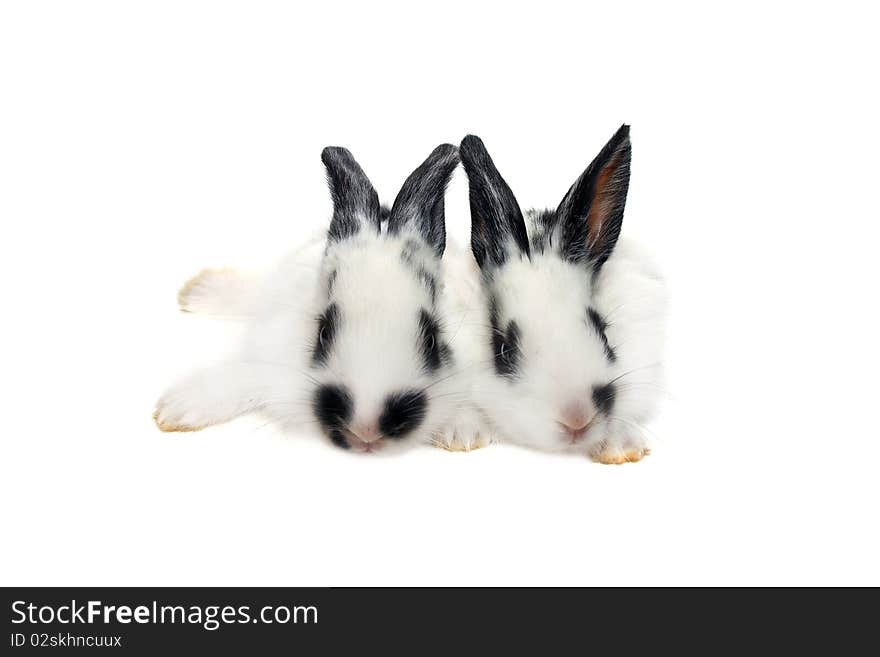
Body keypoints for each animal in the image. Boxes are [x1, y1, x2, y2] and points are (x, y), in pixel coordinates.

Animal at [153, 143, 482, 452]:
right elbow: (245, 374)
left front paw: (462, 433)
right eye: (323, 333)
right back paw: (199, 290)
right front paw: (177, 409)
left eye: (432, 341)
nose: (366, 430)